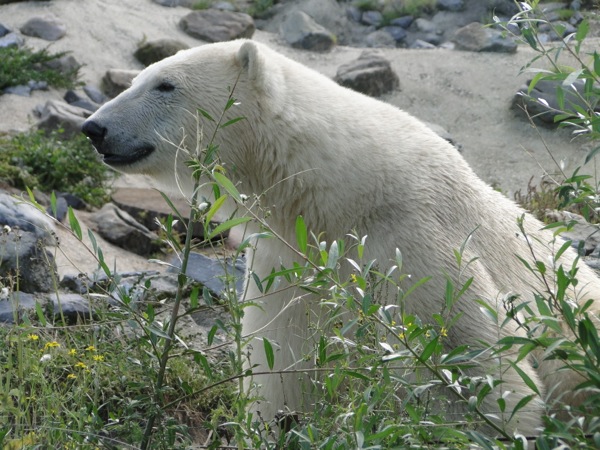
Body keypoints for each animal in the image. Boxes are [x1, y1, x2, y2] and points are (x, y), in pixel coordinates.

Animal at [82, 39, 596, 436]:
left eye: (165, 85)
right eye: (135, 79)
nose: (93, 127)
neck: (337, 191)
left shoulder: (409, 237)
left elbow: (462, 350)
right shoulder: (288, 258)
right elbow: (280, 360)